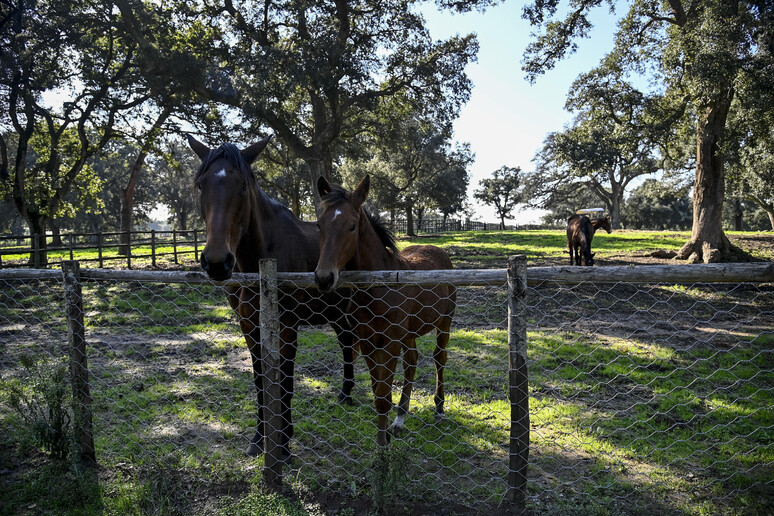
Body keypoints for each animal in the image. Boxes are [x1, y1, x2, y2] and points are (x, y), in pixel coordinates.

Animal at [188, 135, 358, 458]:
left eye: (243, 185)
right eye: (201, 185)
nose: (217, 262)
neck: (258, 261)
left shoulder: (287, 328)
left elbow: (286, 381)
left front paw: (284, 442)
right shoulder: (249, 327)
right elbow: (260, 380)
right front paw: (259, 438)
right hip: (335, 313)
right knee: (346, 345)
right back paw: (345, 393)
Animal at [316, 175, 458, 446]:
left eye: (352, 226)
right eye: (319, 225)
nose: (323, 278)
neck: (376, 290)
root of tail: (437, 249)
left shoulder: (390, 343)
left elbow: (383, 394)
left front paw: (382, 449)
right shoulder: (368, 342)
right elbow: (378, 392)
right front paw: (382, 439)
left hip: (445, 322)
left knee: (439, 358)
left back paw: (438, 408)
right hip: (409, 333)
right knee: (412, 361)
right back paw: (400, 419)